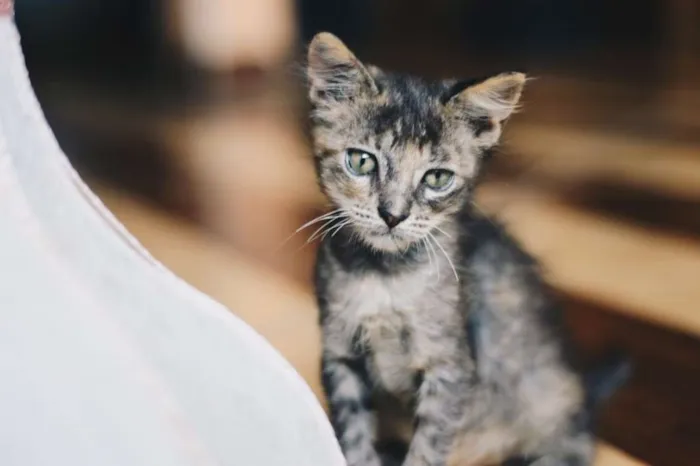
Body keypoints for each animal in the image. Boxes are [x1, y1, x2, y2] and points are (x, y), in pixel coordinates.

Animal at [306, 33, 628, 466]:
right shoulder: (340, 354)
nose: (392, 215)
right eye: (360, 161)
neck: (386, 276)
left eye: (437, 178)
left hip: (546, 395)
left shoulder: (450, 366)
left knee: (571, 441)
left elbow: (428, 447)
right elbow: (354, 435)